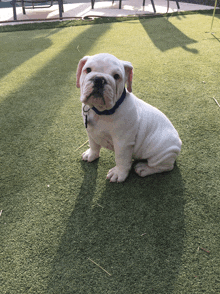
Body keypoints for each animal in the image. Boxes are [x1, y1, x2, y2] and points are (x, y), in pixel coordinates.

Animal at [76, 52, 182, 181]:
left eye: (116, 76)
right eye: (88, 70)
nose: (99, 79)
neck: (101, 112)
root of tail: (178, 142)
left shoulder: (122, 143)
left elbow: (121, 159)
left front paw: (119, 174)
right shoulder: (91, 132)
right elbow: (94, 145)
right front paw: (91, 155)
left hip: (161, 152)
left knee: (165, 166)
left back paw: (144, 169)